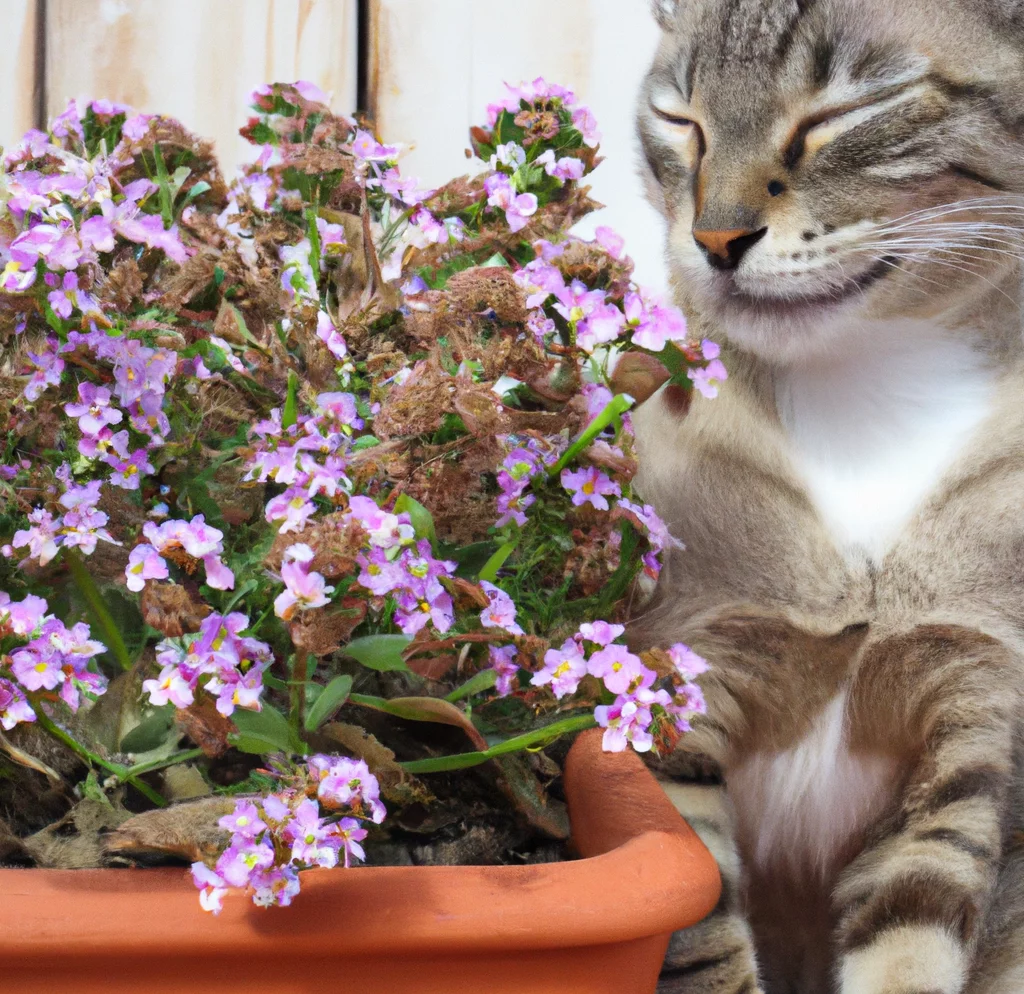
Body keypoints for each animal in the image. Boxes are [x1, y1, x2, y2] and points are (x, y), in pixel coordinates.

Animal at [630, 1, 1024, 994]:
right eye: (681, 119)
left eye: (849, 108)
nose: (716, 240)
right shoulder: (682, 686)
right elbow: (700, 933)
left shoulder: (960, 726)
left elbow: (911, 945)